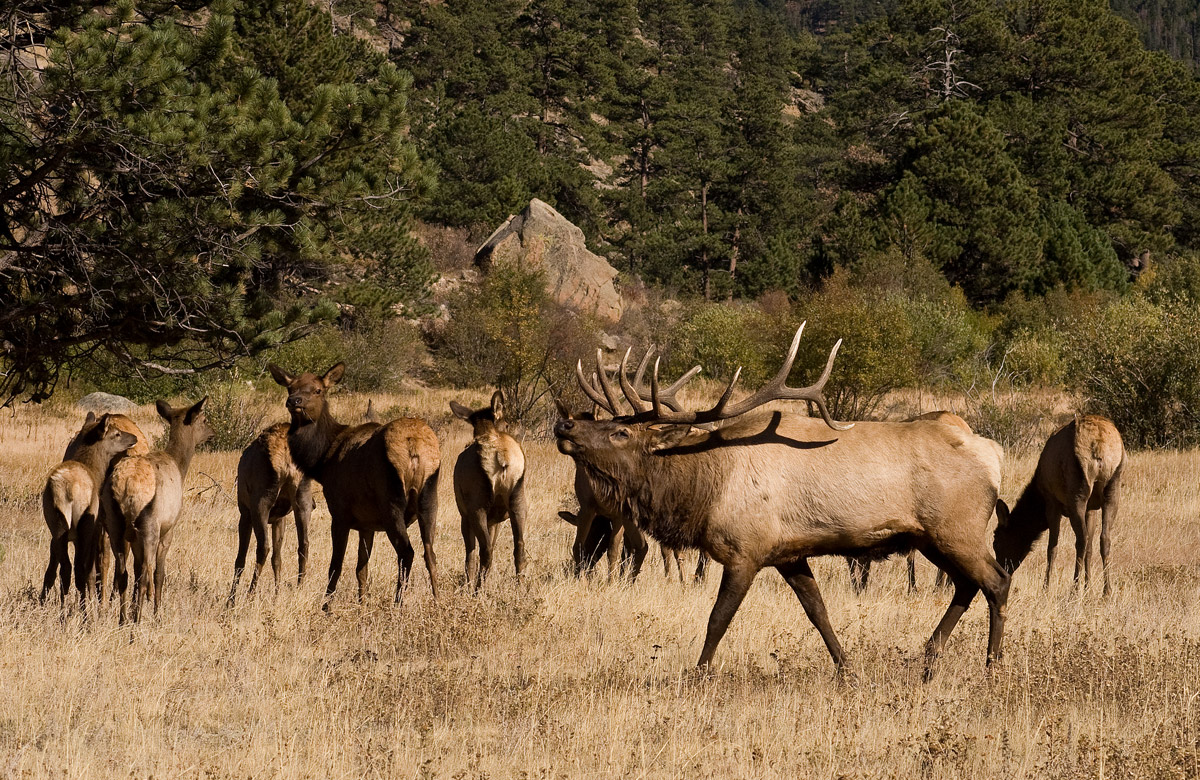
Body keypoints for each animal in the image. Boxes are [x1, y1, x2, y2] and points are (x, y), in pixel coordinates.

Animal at [41, 413, 139, 607]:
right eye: (116, 434)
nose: (134, 437)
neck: (94, 467)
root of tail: (68, 489)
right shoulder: (94, 529)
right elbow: (91, 571)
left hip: (58, 525)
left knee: (66, 568)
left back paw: (64, 609)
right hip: (84, 525)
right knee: (79, 569)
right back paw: (84, 610)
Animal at [103, 399, 213, 622]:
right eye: (205, 419)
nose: (213, 432)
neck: (180, 467)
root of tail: (126, 486)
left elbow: (135, 571)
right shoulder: (168, 529)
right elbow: (159, 574)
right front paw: (157, 613)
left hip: (115, 524)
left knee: (123, 572)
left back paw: (123, 619)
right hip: (150, 525)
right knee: (147, 572)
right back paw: (136, 621)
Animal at [268, 363, 441, 606]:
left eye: (318, 390)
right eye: (290, 387)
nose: (295, 401)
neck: (322, 460)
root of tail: (414, 447)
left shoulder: (340, 512)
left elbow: (336, 566)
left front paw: (326, 606)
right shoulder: (367, 524)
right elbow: (362, 568)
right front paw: (362, 603)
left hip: (391, 503)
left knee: (407, 552)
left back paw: (397, 604)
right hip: (430, 497)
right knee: (430, 553)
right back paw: (437, 600)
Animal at [450, 391, 528, 589]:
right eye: (506, 424)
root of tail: (502, 456)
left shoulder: (465, 516)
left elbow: (470, 556)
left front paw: (467, 587)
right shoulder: (496, 520)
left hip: (477, 506)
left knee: (485, 552)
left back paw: (477, 591)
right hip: (518, 499)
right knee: (519, 547)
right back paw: (521, 589)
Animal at [993, 415, 1125, 595]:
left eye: (996, 541)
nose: (1001, 571)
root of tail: (1099, 445)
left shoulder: (1052, 503)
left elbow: (1052, 547)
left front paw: (1046, 588)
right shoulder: (1091, 508)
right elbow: (1090, 549)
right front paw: (1089, 589)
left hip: (1077, 489)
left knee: (1081, 539)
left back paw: (1074, 591)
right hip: (1113, 486)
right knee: (1104, 538)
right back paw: (1107, 592)